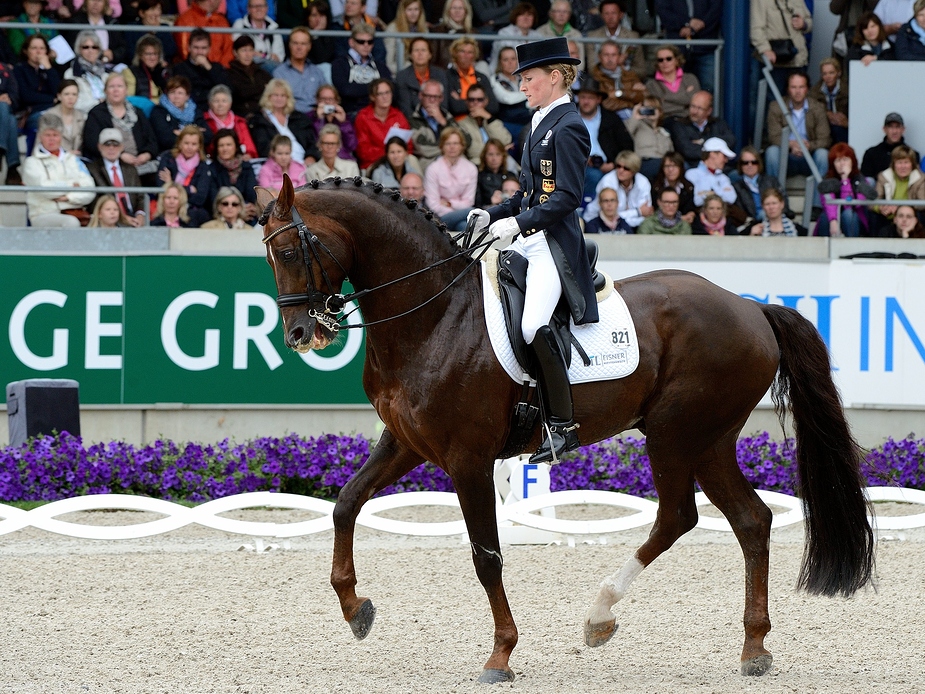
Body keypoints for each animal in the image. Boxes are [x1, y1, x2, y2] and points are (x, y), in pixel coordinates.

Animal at [254, 177, 872, 688]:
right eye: (268, 256)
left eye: (287, 252)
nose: (301, 335)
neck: (434, 316)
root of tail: (748, 308)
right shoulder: (406, 442)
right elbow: (346, 503)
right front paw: (355, 608)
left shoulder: (467, 458)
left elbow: (486, 556)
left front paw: (501, 655)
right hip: (708, 440)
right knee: (749, 519)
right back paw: (752, 647)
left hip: (675, 433)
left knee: (680, 516)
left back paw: (602, 615)